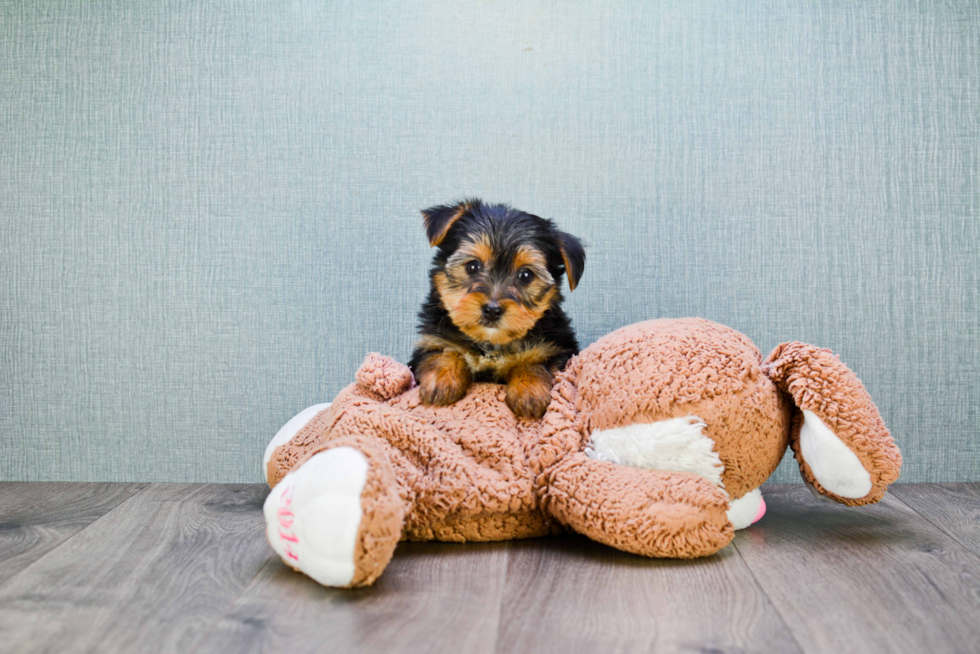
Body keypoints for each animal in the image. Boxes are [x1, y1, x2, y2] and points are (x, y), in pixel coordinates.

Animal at [410, 200, 584, 420]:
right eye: (473, 266)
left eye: (526, 275)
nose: (492, 310)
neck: (491, 343)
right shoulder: (431, 340)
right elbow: (443, 350)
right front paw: (441, 379)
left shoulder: (558, 348)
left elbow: (535, 360)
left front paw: (529, 391)